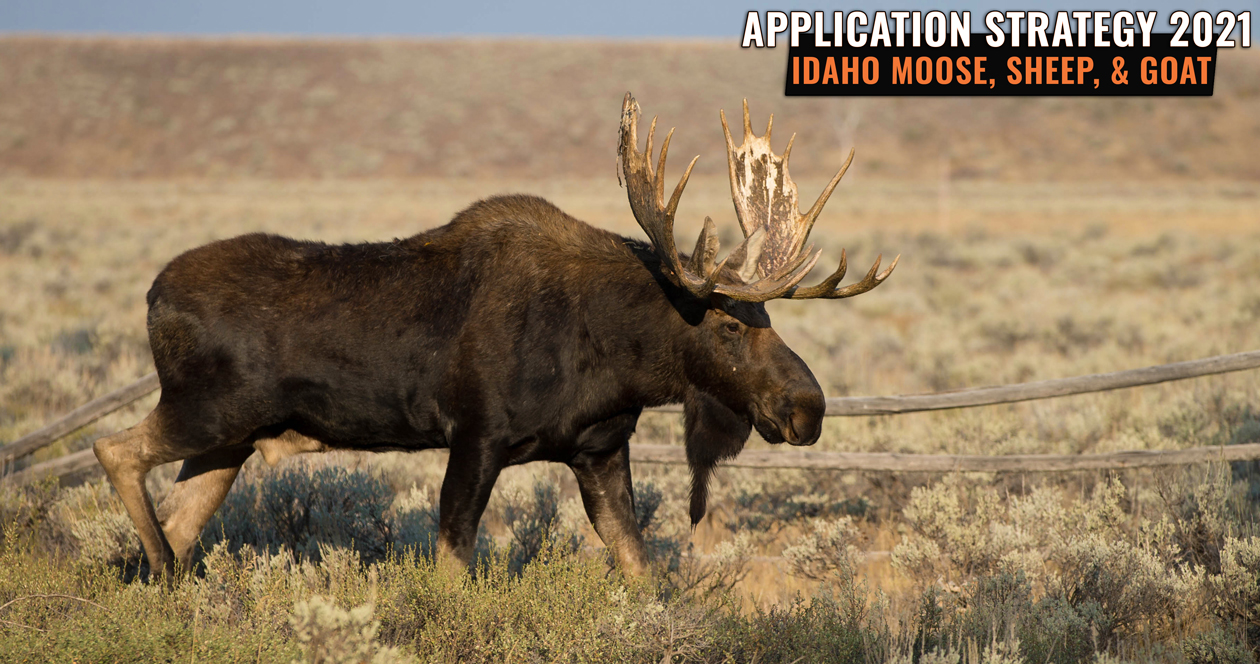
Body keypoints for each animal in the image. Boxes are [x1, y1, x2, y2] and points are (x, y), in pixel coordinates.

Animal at [93, 93, 896, 581]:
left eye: (771, 320)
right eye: (731, 323)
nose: (808, 407)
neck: (621, 359)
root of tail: (152, 295)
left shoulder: (599, 448)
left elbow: (641, 567)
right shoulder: (475, 435)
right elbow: (453, 560)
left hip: (229, 440)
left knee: (181, 513)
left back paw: (165, 576)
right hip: (208, 409)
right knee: (114, 448)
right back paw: (159, 566)